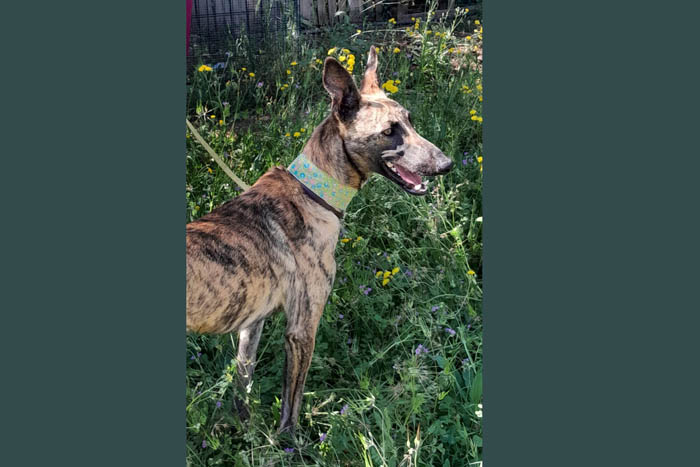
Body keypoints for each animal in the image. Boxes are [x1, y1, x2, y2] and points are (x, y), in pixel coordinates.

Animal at [186, 46, 453, 433]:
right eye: (389, 131)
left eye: (410, 120)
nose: (447, 164)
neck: (313, 192)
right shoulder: (302, 330)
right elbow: (291, 407)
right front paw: (288, 442)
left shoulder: (253, 324)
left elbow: (243, 381)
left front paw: (244, 426)